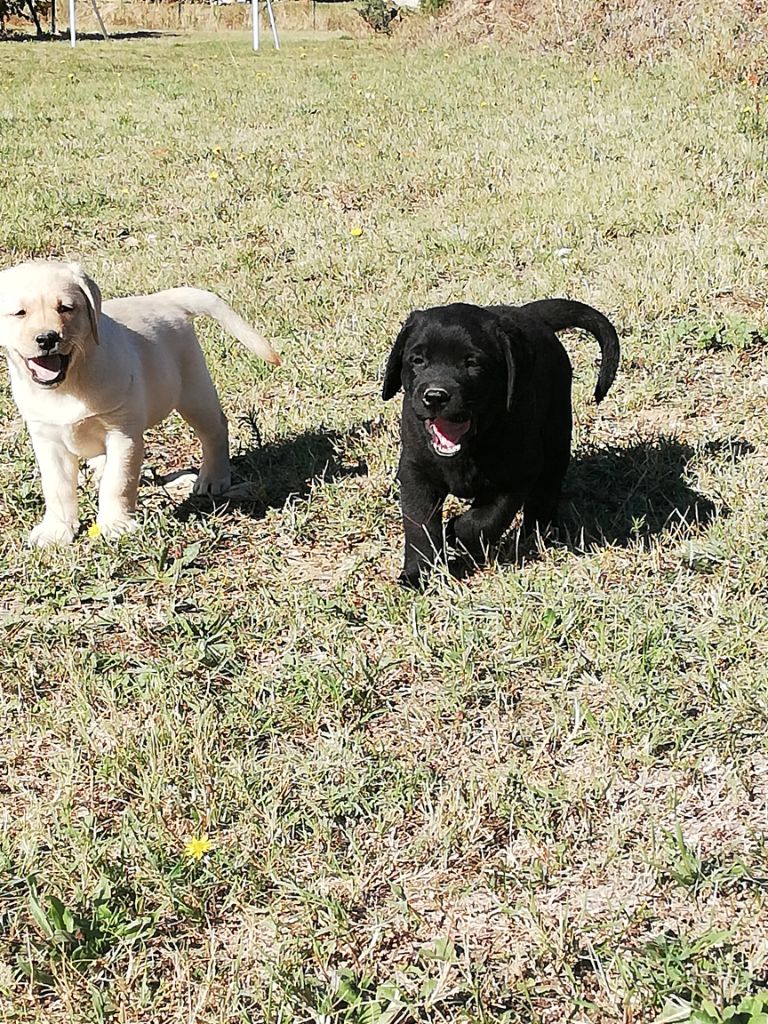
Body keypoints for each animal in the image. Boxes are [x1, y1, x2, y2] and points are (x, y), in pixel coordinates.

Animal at [0, 258, 280, 544]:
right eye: (20, 313)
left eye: (66, 308)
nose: (47, 338)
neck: (69, 383)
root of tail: (163, 299)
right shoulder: (47, 438)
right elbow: (56, 488)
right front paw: (56, 530)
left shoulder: (122, 433)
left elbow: (118, 482)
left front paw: (115, 524)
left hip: (194, 392)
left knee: (215, 430)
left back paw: (214, 477)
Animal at [382, 299, 622, 585]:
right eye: (418, 360)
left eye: (472, 363)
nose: (436, 396)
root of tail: (529, 313)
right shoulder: (416, 473)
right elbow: (420, 526)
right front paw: (418, 574)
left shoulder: (518, 474)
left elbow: (483, 521)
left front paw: (454, 532)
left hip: (557, 432)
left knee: (547, 487)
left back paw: (540, 532)